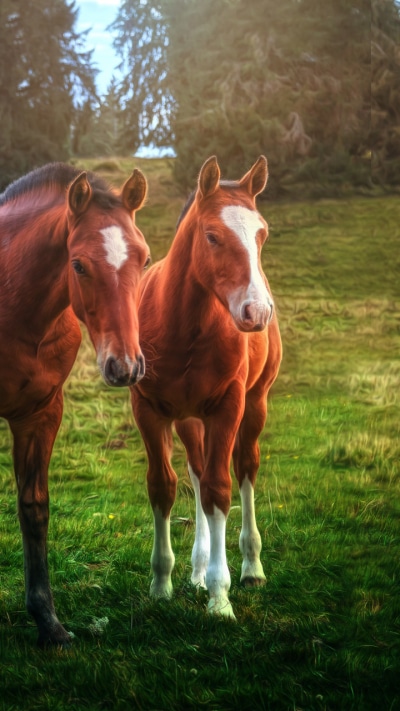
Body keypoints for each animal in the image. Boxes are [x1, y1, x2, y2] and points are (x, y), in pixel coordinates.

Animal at [0, 162, 150, 646]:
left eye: (144, 259)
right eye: (78, 264)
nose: (125, 365)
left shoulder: (41, 413)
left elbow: (34, 507)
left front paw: (47, 620)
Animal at [131, 155, 282, 619]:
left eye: (262, 233)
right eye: (212, 236)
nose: (257, 312)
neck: (182, 325)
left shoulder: (227, 407)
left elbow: (220, 488)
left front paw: (220, 597)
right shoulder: (149, 410)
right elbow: (163, 486)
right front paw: (161, 584)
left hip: (255, 404)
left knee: (244, 468)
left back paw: (251, 567)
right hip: (187, 420)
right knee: (196, 474)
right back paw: (196, 571)